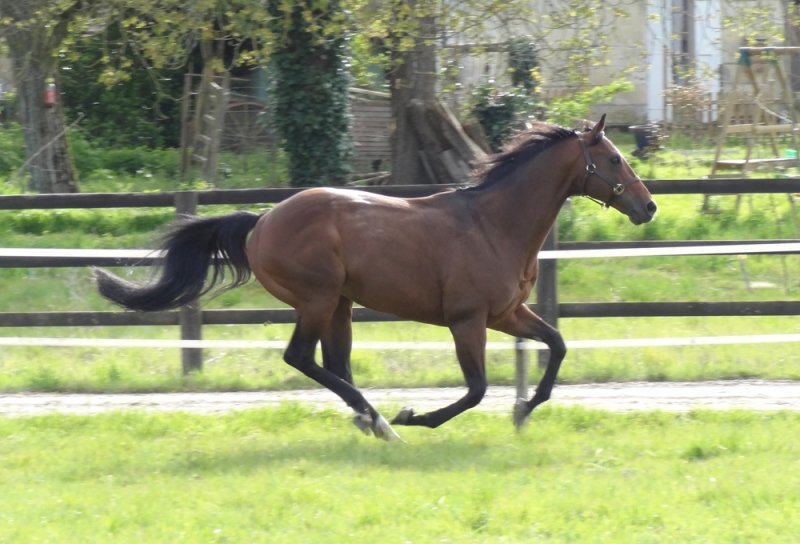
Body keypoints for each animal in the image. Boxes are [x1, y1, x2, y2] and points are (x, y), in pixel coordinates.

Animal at [94, 115, 656, 441]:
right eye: (613, 159)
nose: (648, 206)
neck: (494, 223)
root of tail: (262, 221)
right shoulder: (467, 320)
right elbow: (476, 389)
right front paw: (415, 416)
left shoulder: (507, 313)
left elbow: (557, 344)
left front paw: (523, 410)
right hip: (317, 298)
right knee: (302, 359)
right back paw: (383, 422)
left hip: (340, 304)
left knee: (334, 363)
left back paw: (370, 420)